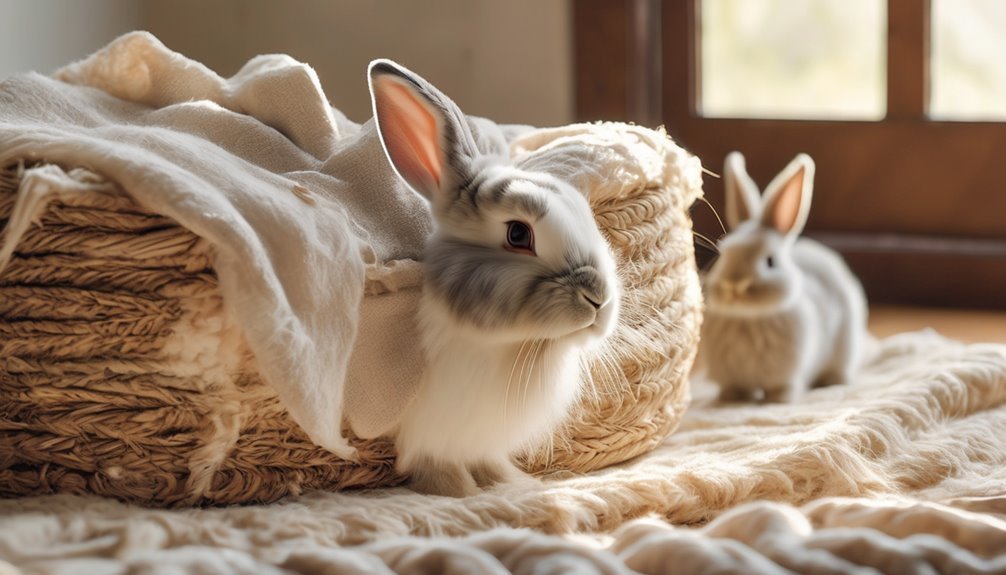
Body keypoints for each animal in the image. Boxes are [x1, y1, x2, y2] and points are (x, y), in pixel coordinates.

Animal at [367, 59, 620, 497]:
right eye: (518, 234)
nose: (599, 298)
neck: (506, 346)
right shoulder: (431, 437)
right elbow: (438, 467)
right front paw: (462, 492)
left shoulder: (481, 441)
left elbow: (489, 462)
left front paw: (514, 483)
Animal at [699, 152, 867, 403]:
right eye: (724, 255)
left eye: (770, 261)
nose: (735, 286)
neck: (748, 318)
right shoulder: (732, 375)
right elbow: (735, 387)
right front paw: (731, 399)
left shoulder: (786, 373)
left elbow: (780, 387)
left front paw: (779, 400)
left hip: (845, 344)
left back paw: (833, 382)